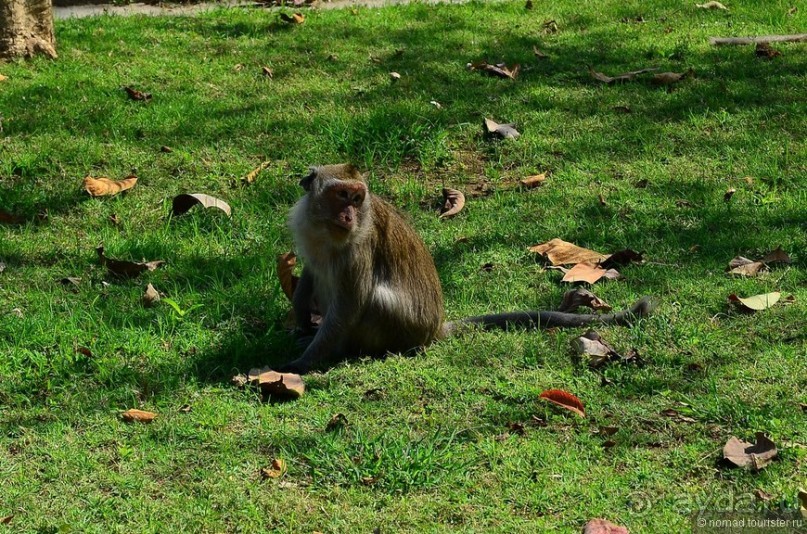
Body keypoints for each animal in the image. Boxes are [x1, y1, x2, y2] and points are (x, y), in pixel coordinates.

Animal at [280, 165, 652, 374]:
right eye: (341, 195)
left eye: (357, 199)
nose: (349, 216)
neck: (325, 230)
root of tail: (434, 329)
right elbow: (311, 271)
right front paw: (301, 316)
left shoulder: (360, 246)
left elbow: (349, 306)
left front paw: (303, 363)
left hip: (399, 327)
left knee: (374, 301)